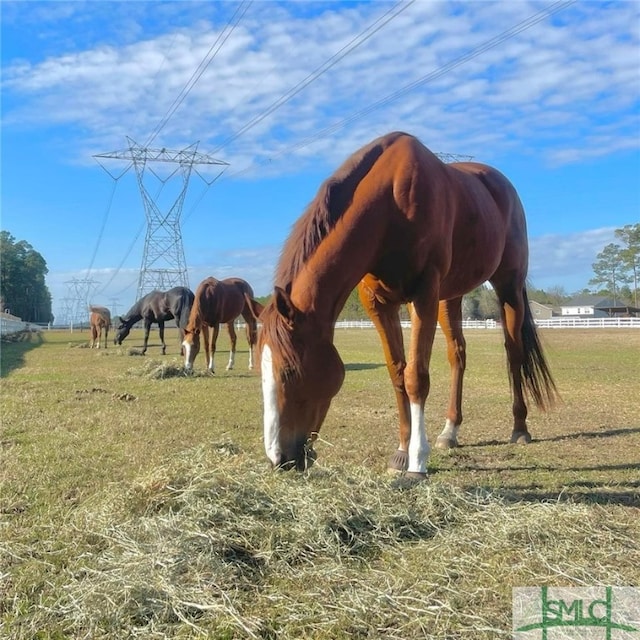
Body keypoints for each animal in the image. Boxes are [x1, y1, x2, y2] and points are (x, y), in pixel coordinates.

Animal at [258, 131, 556, 476]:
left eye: (290, 370)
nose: (278, 459)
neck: (390, 206)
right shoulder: (380, 304)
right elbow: (398, 373)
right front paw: (402, 451)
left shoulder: (424, 295)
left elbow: (417, 377)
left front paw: (417, 460)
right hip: (450, 296)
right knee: (457, 354)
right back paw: (449, 431)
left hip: (508, 285)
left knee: (514, 353)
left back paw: (519, 428)